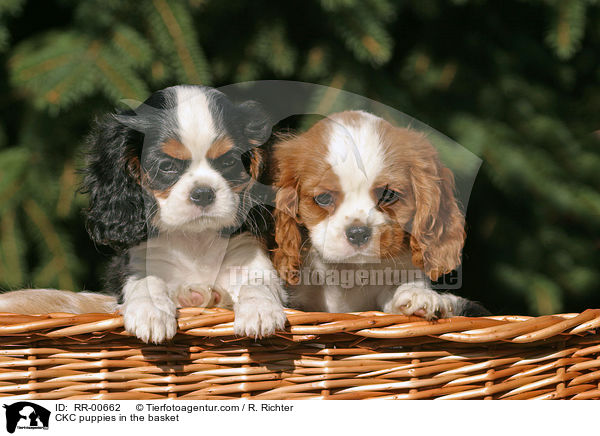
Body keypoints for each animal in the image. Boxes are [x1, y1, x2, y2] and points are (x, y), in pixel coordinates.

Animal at [81, 86, 288, 344]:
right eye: (166, 166)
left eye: (229, 162)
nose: (203, 193)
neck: (195, 237)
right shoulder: (138, 260)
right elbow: (145, 281)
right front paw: (150, 311)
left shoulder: (248, 253)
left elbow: (258, 282)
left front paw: (260, 309)